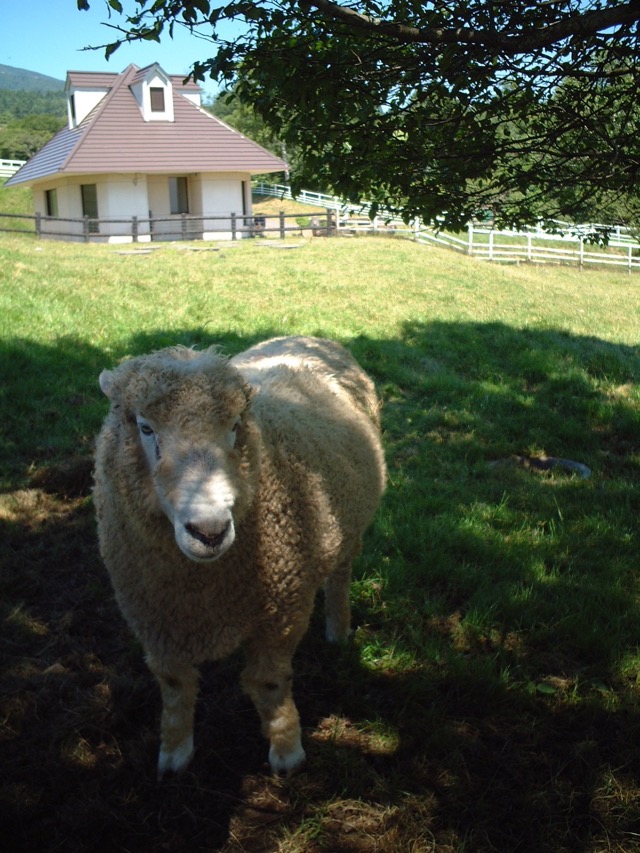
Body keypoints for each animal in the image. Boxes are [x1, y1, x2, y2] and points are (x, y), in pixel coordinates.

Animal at [94, 336, 384, 776]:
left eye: (234, 427)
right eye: (145, 427)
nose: (209, 532)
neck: (201, 583)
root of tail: (310, 337)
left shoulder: (281, 612)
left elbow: (269, 683)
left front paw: (287, 752)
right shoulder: (155, 619)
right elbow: (175, 687)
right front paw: (174, 753)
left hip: (347, 526)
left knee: (340, 576)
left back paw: (338, 630)